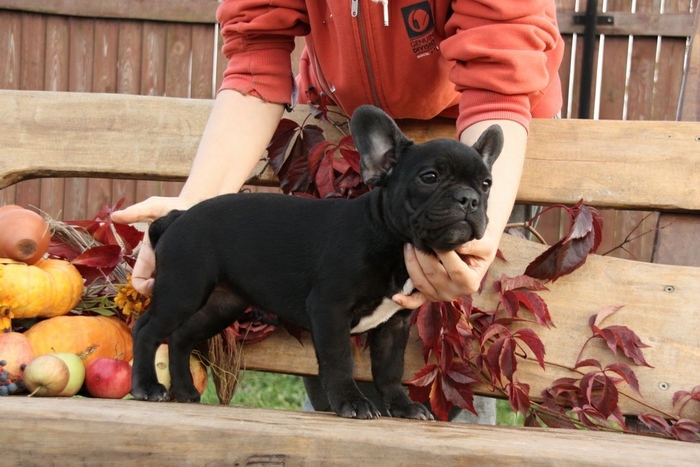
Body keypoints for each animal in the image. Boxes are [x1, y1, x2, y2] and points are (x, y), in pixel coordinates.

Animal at [130, 106, 504, 420]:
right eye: (429, 178)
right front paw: (352, 402)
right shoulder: (330, 308)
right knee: (147, 329)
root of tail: (177, 216)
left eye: (486, 184)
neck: (390, 238)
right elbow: (339, 361)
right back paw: (147, 387)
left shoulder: (394, 325)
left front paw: (402, 406)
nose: (469, 199)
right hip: (184, 288)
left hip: (222, 303)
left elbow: (389, 370)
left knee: (181, 336)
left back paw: (185, 391)